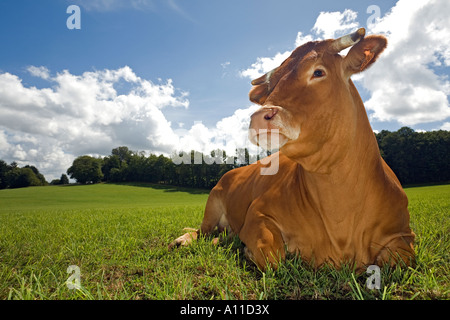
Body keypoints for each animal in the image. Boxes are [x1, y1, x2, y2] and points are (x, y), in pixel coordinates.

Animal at [169, 28, 414, 272]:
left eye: (318, 72)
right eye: (271, 86)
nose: (259, 117)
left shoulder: (404, 234)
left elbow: (398, 259)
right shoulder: (258, 213)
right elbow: (272, 255)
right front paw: (245, 249)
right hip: (212, 203)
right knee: (201, 232)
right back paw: (184, 241)